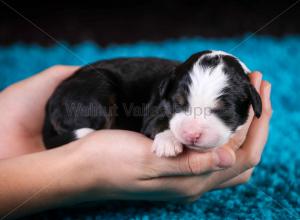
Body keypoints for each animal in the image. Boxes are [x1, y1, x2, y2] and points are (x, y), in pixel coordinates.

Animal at [43, 50, 262, 156]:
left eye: (223, 110)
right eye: (178, 103)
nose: (192, 134)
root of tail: (51, 101)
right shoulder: (155, 109)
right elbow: (159, 122)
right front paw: (168, 142)